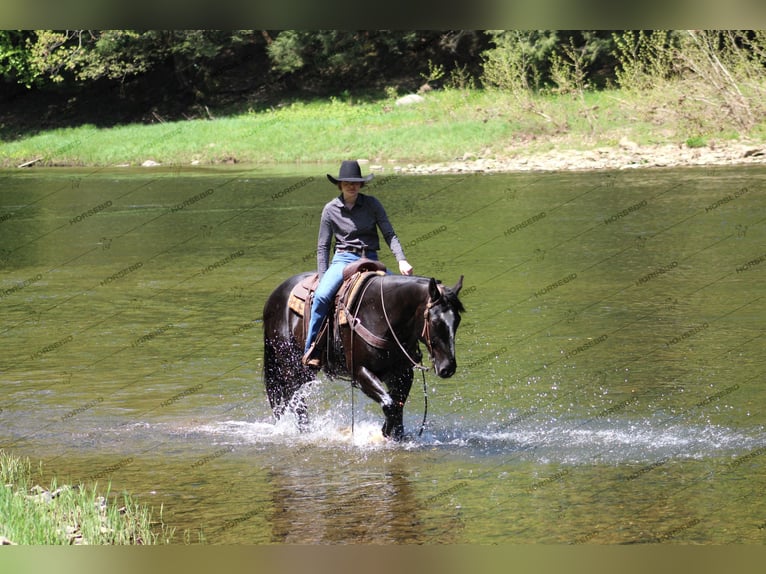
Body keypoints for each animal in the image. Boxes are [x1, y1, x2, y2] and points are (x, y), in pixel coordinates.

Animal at [264, 272, 464, 440]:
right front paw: (383, 434)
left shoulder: (402, 374)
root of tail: (273, 297)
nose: (448, 368)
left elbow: (397, 406)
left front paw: (396, 436)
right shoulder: (360, 372)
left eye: (457, 321)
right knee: (296, 400)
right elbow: (390, 405)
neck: (381, 315)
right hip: (292, 365)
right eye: (436, 321)